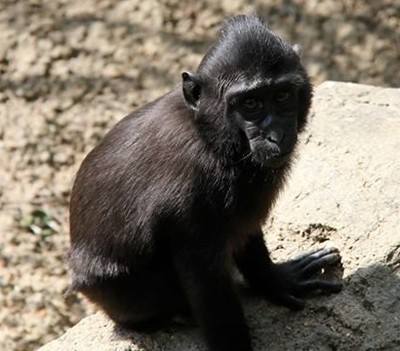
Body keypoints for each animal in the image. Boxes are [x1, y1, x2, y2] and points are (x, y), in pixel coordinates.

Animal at [67, 15, 342, 351]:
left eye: (282, 96)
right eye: (250, 104)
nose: (276, 136)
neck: (210, 137)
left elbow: (246, 234)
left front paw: (277, 281)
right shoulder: (195, 196)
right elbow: (208, 286)